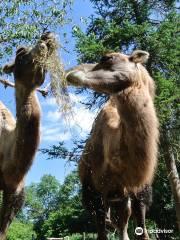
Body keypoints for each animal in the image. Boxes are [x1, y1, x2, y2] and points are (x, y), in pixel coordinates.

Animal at [66, 49, 159, 239]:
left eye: (108, 58)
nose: (71, 72)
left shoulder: (140, 191)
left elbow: (142, 231)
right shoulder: (95, 192)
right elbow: (102, 233)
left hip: (119, 198)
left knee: (123, 222)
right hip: (95, 195)